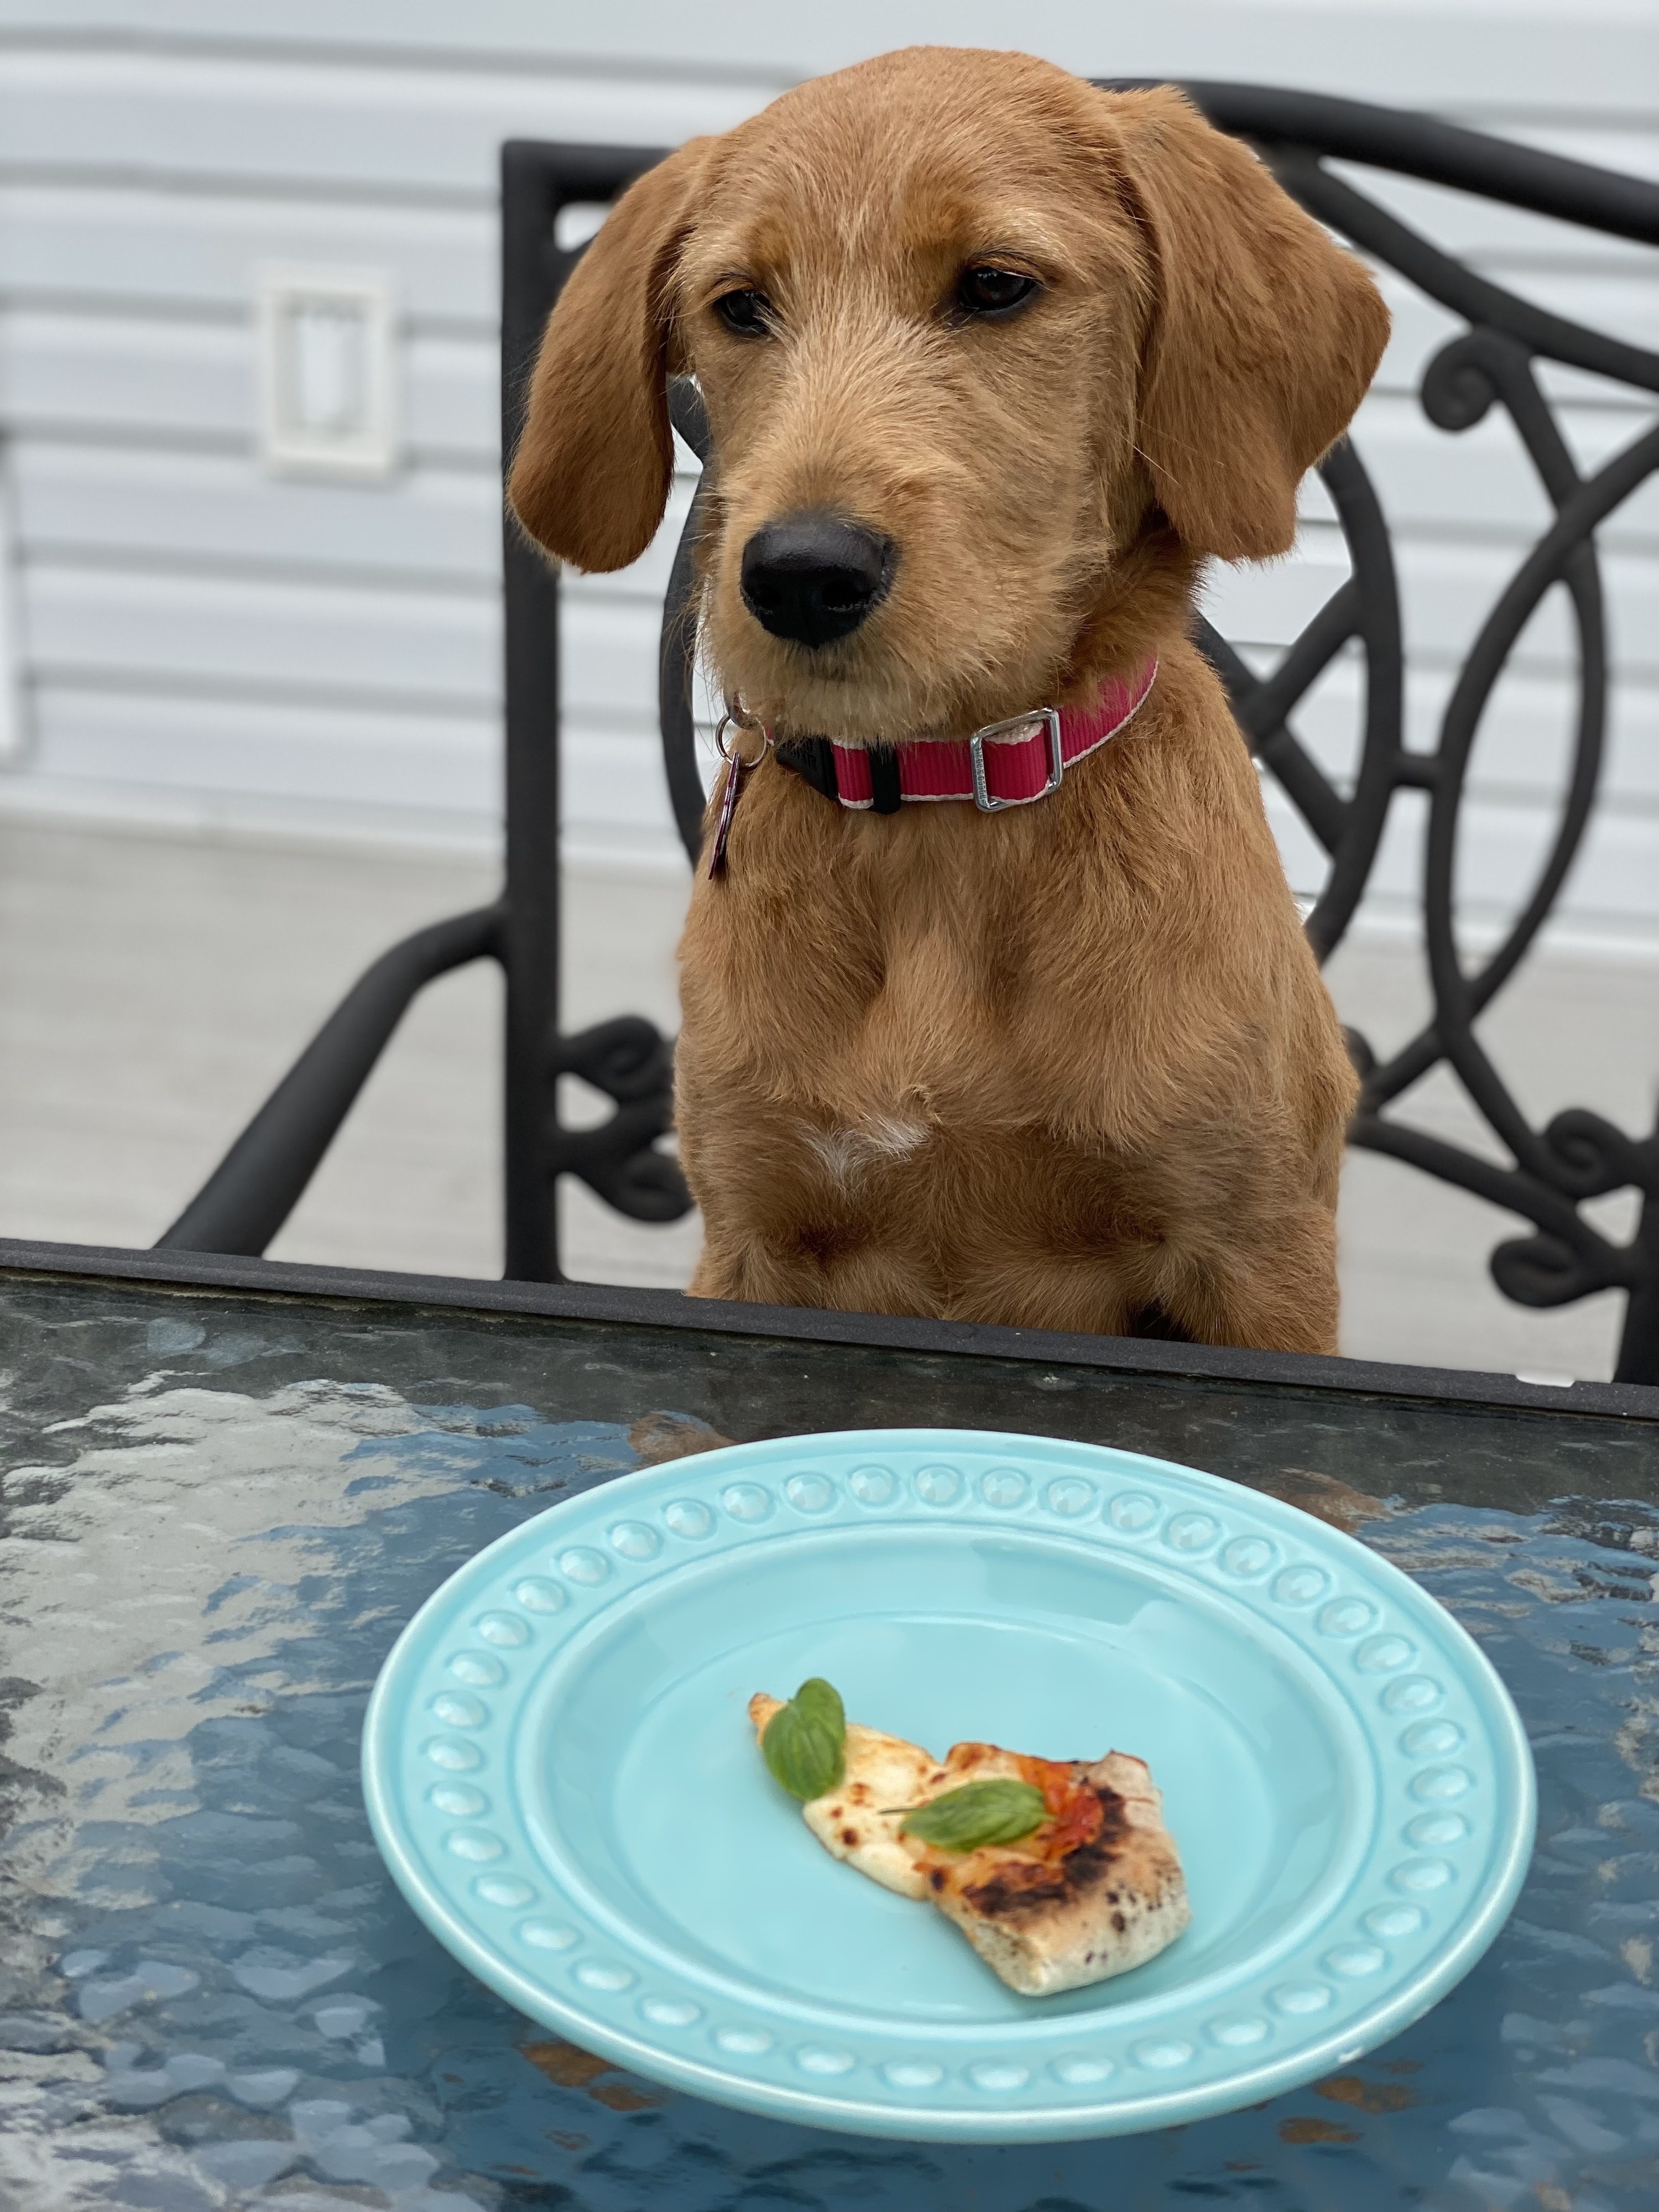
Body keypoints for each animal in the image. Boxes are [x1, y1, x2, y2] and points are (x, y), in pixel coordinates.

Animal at [513, 52, 1398, 1354]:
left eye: (994, 287)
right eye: (740, 306)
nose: (802, 573)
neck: (938, 810)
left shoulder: (1259, 1256)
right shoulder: (751, 1237)